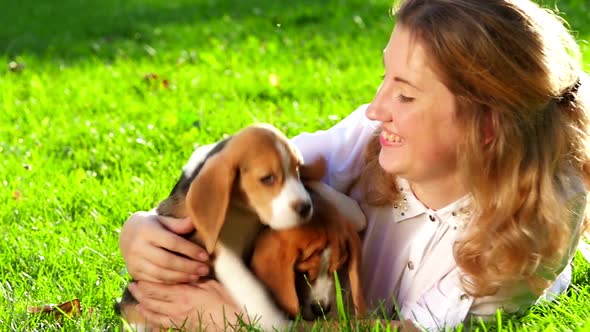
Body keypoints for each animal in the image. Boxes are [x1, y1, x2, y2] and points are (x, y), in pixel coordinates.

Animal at [117, 123, 316, 330]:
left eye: (297, 169)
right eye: (267, 178)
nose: (306, 207)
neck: (242, 211)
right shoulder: (223, 255)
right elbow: (253, 291)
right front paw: (279, 323)